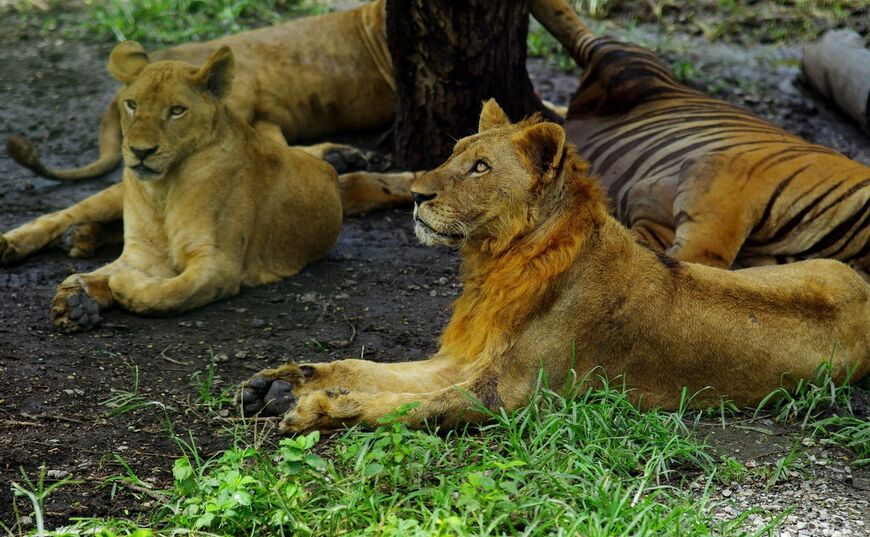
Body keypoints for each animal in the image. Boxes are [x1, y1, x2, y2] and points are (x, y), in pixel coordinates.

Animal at [45, 43, 344, 336]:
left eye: (177, 110)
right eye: (131, 105)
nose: (141, 151)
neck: (161, 189)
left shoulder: (218, 264)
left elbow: (167, 293)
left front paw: (119, 284)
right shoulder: (141, 253)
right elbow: (102, 274)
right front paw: (75, 300)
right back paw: (71, 237)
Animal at [235, 100, 868, 432]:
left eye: (481, 167)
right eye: (453, 153)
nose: (414, 194)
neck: (494, 265)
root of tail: (863, 289)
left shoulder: (506, 395)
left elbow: (403, 404)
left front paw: (318, 408)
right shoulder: (461, 360)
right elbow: (364, 366)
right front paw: (281, 381)